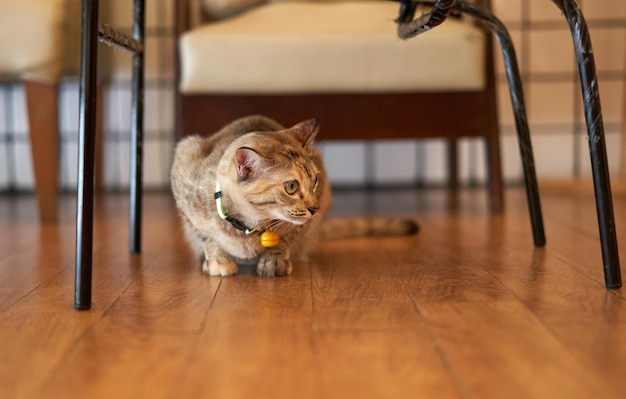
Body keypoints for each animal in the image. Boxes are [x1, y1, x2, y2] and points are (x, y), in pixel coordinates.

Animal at [168, 115, 416, 278]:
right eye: (291, 186)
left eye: (314, 180)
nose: (315, 209)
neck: (251, 226)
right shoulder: (183, 174)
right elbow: (206, 236)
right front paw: (218, 259)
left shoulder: (312, 206)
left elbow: (288, 236)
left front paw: (275, 260)